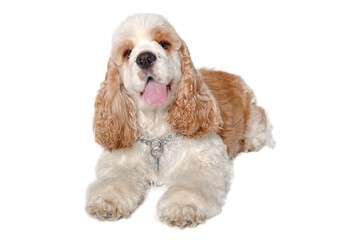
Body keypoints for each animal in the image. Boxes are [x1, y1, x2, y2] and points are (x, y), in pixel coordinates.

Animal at [86, 13, 274, 229]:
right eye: (127, 52)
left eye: (164, 43)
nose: (145, 58)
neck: (157, 126)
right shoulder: (118, 161)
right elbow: (114, 180)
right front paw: (106, 201)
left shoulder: (205, 160)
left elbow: (190, 185)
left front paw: (182, 206)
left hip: (250, 111)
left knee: (261, 120)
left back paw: (251, 142)